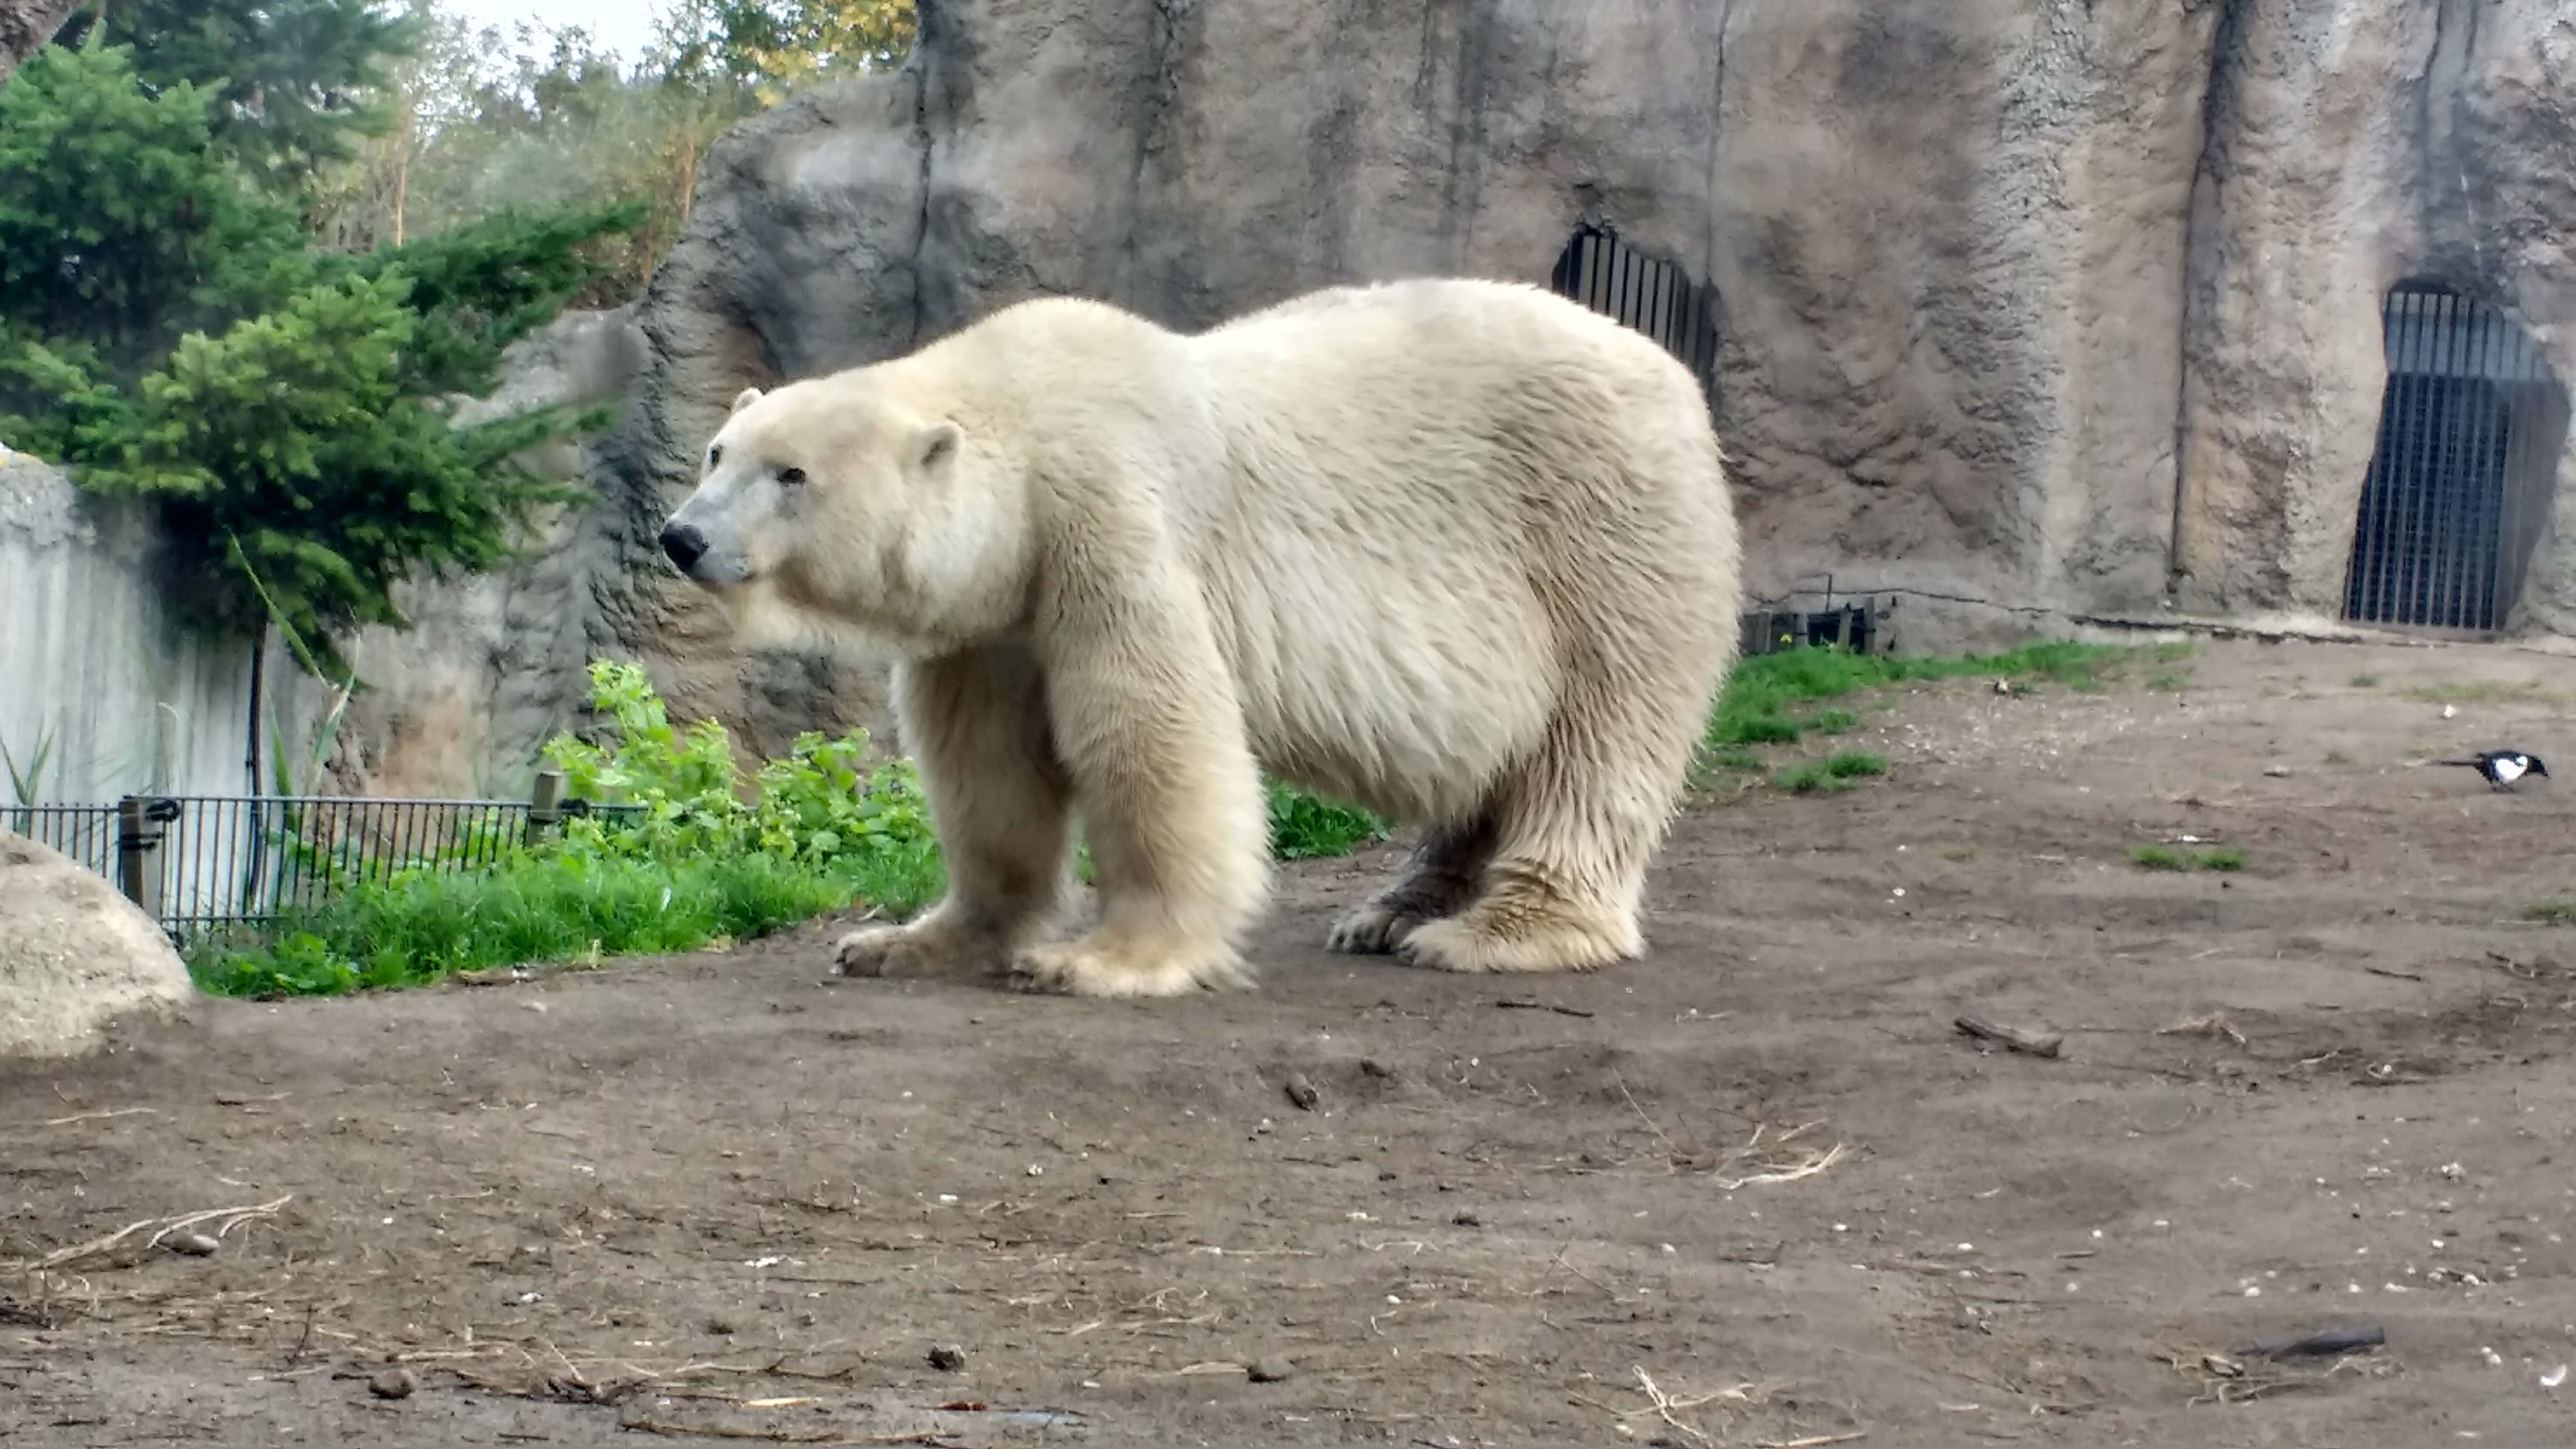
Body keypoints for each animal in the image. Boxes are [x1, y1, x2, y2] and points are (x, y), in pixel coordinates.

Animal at [664, 273, 1741, 990]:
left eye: (792, 474)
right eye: (718, 452)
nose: (683, 537)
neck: (1027, 427)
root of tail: (1675, 377)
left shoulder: (1110, 524)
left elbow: (1150, 734)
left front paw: (1099, 960)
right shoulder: (995, 618)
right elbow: (988, 772)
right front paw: (903, 941)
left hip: (1603, 537)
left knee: (1597, 740)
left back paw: (1497, 932)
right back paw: (1392, 910)